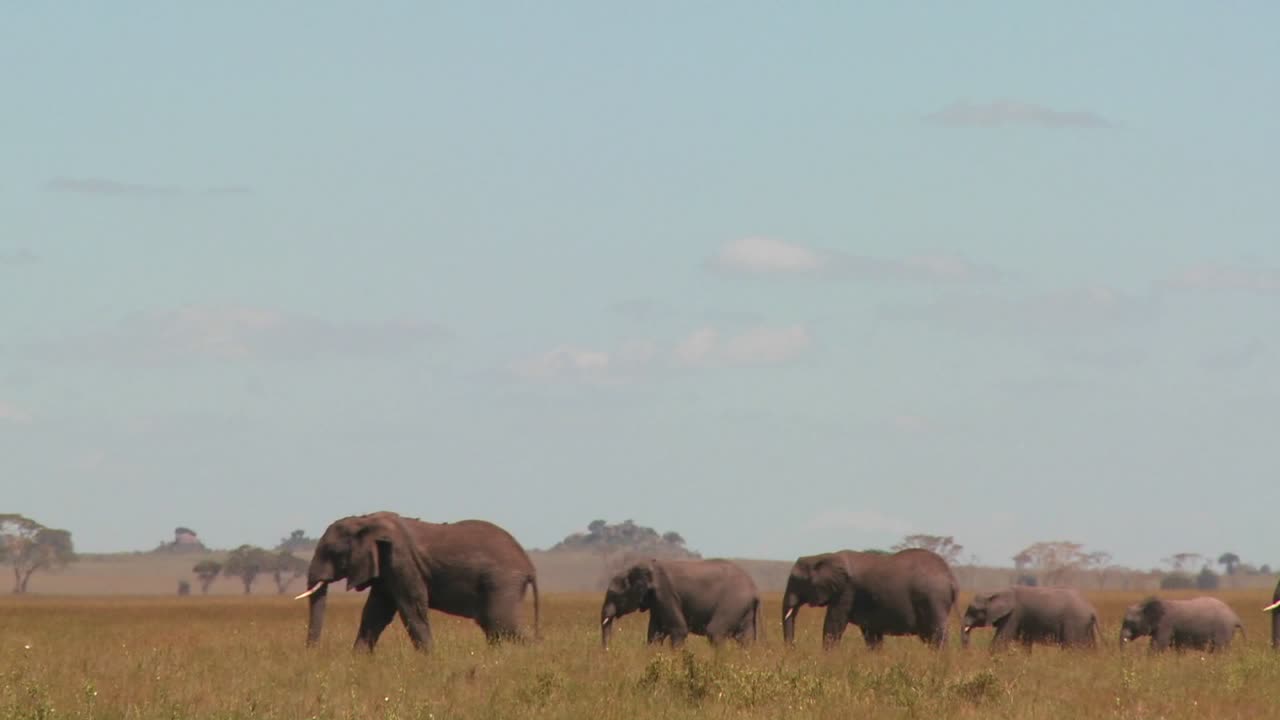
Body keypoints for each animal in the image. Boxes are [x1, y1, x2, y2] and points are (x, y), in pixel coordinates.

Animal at [296, 511, 539, 652]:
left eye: (334, 552)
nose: (313, 653)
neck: (366, 521)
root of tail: (528, 564)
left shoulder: (402, 561)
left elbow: (412, 607)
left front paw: (429, 660)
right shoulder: (385, 568)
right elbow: (376, 612)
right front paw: (358, 660)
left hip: (502, 581)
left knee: (501, 623)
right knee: (493, 626)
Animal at [599, 558, 760, 649]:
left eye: (614, 595)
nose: (609, 651)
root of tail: (755, 589)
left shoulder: (666, 594)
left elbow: (679, 630)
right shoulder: (657, 601)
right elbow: (654, 634)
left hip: (733, 603)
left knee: (715, 632)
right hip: (743, 608)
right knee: (745, 638)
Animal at [782, 548, 957, 649]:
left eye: (796, 581)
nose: (793, 648)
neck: (823, 557)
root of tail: (951, 578)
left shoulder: (846, 591)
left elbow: (833, 624)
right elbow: (871, 633)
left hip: (933, 600)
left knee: (937, 634)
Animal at [961, 586, 1100, 650]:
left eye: (973, 610)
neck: (997, 592)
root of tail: (1092, 611)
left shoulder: (1013, 616)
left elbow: (1000, 641)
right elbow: (1025, 644)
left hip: (1075, 624)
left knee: (1072, 648)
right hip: (1085, 627)